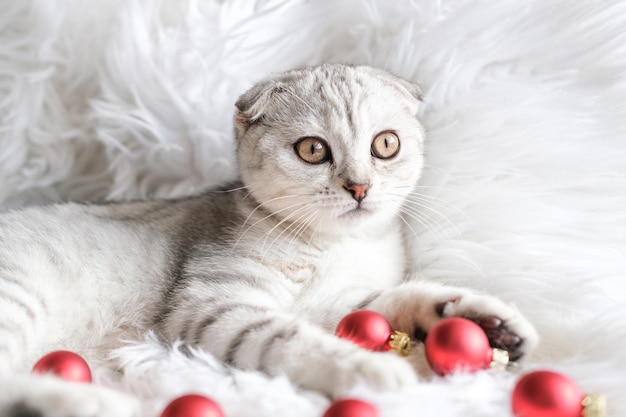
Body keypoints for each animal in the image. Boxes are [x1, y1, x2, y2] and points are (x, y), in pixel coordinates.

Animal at [0, 62, 536, 416]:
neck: (335, 246)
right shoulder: (210, 304)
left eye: (386, 144)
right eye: (313, 150)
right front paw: (365, 369)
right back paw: (88, 401)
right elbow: (289, 337)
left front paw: (485, 322)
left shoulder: (340, 304)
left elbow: (394, 301)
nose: (359, 186)